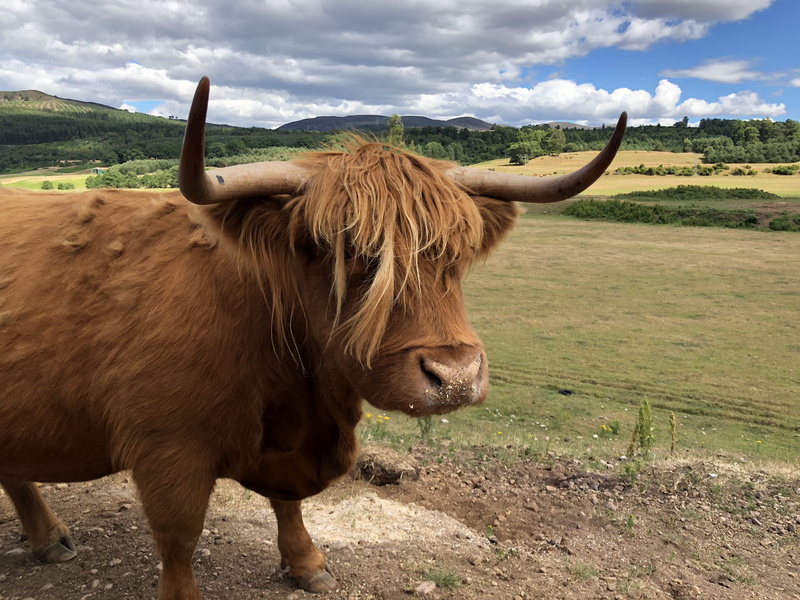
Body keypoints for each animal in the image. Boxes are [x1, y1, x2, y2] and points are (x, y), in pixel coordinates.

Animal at [0, 76, 626, 599]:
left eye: (458, 254)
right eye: (349, 253)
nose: (454, 378)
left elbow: (288, 504)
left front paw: (306, 563)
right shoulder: (166, 446)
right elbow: (179, 539)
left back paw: (46, 539)